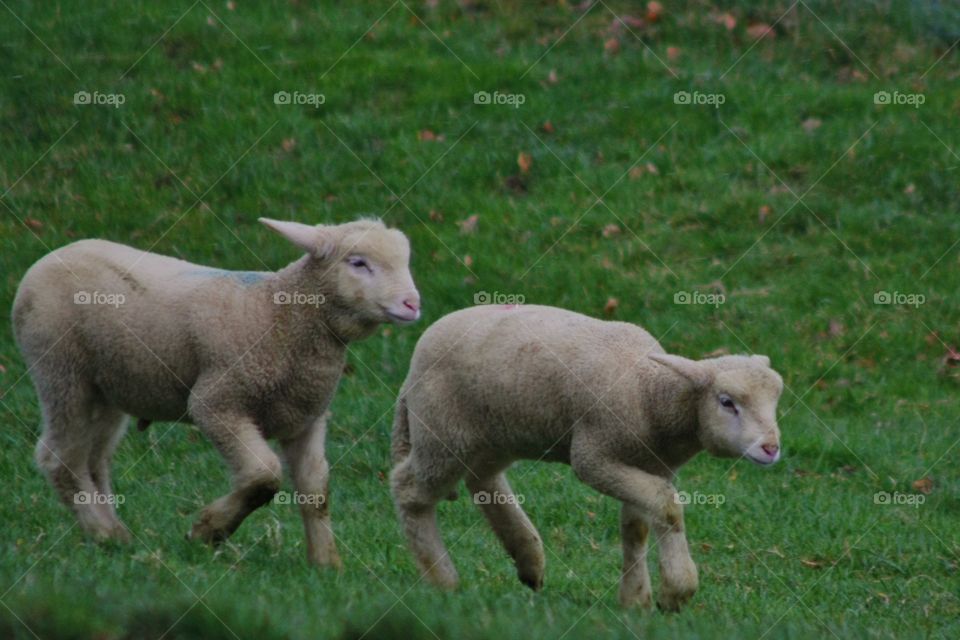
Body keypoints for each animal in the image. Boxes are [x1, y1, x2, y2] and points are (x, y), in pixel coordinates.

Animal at [12, 218, 420, 568]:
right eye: (358, 262)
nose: (412, 304)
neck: (280, 314)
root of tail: (50, 257)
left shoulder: (306, 419)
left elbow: (316, 491)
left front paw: (326, 564)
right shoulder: (217, 403)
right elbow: (263, 475)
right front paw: (208, 530)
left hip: (108, 388)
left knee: (93, 460)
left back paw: (114, 533)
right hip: (61, 371)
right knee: (60, 457)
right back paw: (104, 533)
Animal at [388, 304, 780, 608]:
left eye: (776, 401)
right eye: (727, 402)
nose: (771, 448)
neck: (647, 392)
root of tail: (411, 369)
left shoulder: (648, 463)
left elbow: (636, 528)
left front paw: (634, 601)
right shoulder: (595, 458)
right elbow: (667, 507)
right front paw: (676, 591)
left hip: (491, 435)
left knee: (482, 481)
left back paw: (529, 559)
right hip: (441, 433)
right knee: (409, 490)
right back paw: (443, 579)